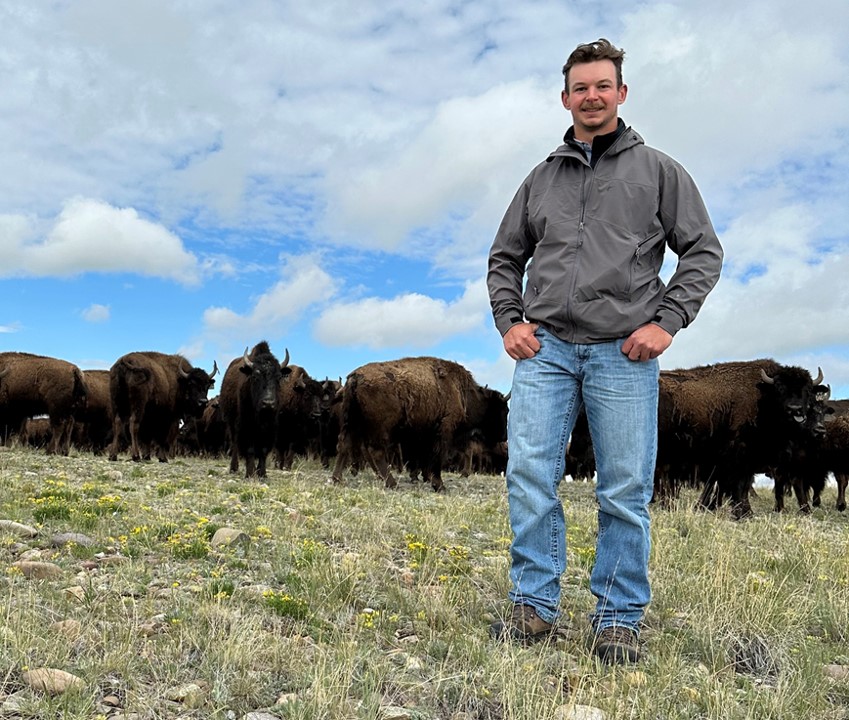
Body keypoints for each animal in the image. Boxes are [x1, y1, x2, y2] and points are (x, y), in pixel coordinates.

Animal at [220, 342, 290, 478]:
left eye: (278, 377)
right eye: (255, 376)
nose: (268, 403)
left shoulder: (270, 428)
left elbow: (263, 450)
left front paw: (262, 473)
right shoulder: (247, 427)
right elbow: (250, 450)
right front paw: (250, 473)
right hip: (231, 423)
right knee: (235, 444)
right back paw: (233, 468)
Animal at [330, 358, 504, 492]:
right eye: (500, 410)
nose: (503, 436)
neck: (462, 391)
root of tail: (355, 377)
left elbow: (425, 457)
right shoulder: (444, 429)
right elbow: (437, 456)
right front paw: (439, 485)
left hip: (351, 423)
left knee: (344, 446)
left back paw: (337, 479)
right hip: (379, 428)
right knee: (375, 452)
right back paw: (392, 483)